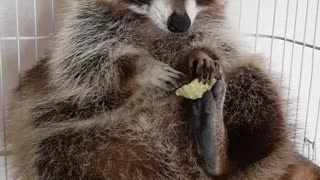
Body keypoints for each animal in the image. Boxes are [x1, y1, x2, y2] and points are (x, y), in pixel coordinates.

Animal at [8, 0, 318, 179]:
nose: (180, 23)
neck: (153, 26)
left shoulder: (214, 28)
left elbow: (220, 48)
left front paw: (199, 53)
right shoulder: (83, 31)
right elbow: (89, 68)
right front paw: (140, 67)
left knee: (255, 83)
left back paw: (216, 149)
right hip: (69, 137)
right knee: (55, 150)